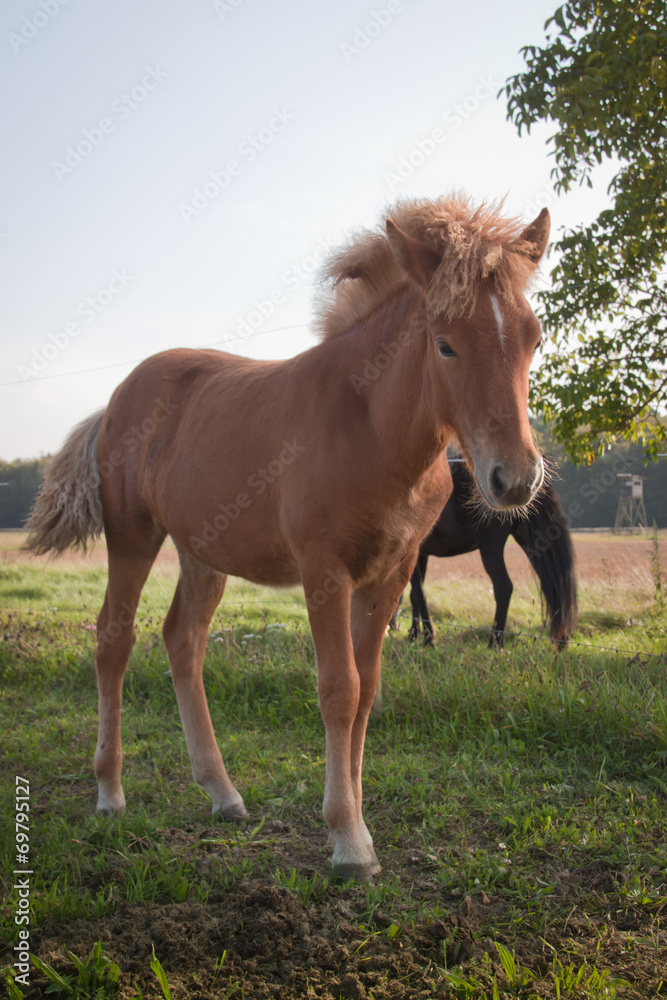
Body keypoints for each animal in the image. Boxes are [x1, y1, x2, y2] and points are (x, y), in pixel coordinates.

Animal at [24, 191, 548, 880]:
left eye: (533, 337)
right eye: (445, 345)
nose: (515, 479)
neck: (371, 429)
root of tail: (111, 402)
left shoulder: (391, 572)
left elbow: (368, 690)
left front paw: (360, 829)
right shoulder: (324, 570)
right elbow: (338, 688)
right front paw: (348, 842)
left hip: (202, 550)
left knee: (182, 640)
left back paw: (223, 793)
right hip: (133, 536)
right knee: (114, 638)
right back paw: (110, 792)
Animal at [396, 460, 580, 648]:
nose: (392, 627)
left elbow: (418, 594)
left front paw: (428, 637)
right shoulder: (421, 556)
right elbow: (414, 595)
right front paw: (414, 635)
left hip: (490, 547)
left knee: (503, 587)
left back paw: (495, 642)